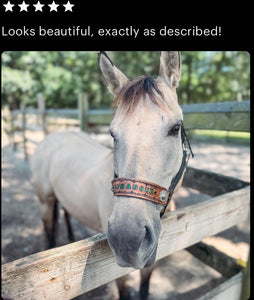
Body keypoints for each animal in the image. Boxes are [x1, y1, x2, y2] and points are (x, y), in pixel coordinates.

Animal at [30, 50, 192, 298]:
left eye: (175, 128)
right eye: (113, 134)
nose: (127, 239)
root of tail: (53, 137)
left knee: (66, 212)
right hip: (45, 200)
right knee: (48, 229)